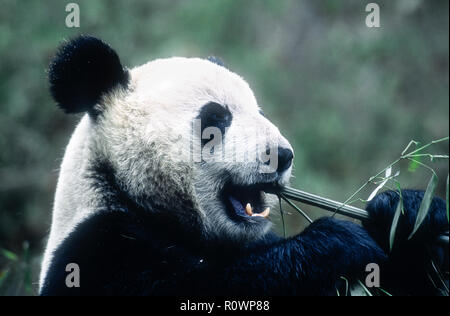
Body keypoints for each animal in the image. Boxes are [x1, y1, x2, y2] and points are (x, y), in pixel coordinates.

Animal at [40, 37, 448, 296]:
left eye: (260, 112)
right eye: (215, 120)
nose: (281, 155)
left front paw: (408, 213)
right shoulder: (99, 250)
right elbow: (215, 286)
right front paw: (339, 240)